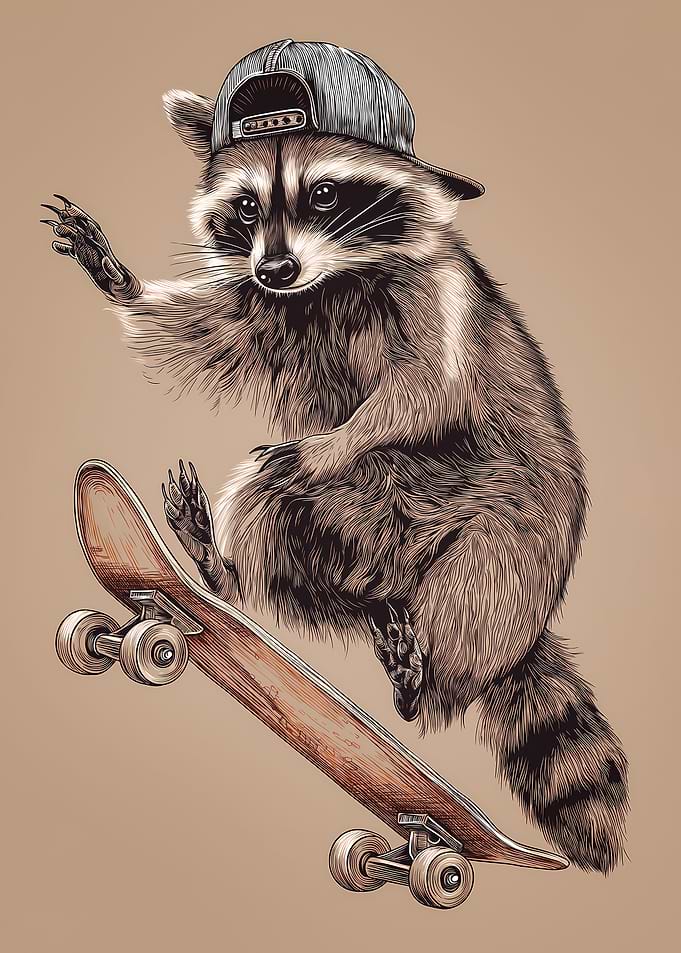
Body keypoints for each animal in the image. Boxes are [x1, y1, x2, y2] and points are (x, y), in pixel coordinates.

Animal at [43, 49, 628, 874]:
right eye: (247, 207)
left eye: (323, 193)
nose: (277, 266)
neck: (330, 277)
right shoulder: (259, 306)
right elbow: (202, 327)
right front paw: (117, 277)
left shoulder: (437, 293)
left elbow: (426, 389)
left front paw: (332, 440)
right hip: (350, 532)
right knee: (274, 525)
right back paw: (224, 578)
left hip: (510, 540)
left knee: (458, 594)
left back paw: (417, 685)